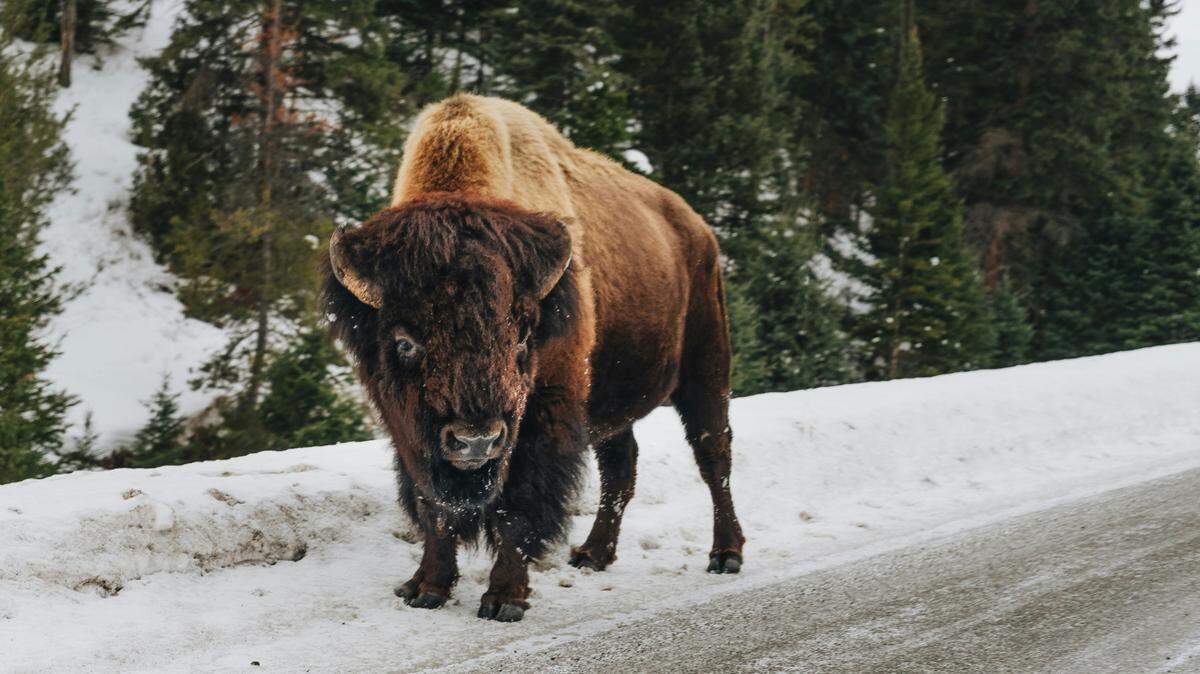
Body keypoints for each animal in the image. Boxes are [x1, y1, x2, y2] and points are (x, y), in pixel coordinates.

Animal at [324, 94, 745, 622]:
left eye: (523, 339)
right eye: (404, 342)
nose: (477, 441)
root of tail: (697, 229)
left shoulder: (540, 421)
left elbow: (517, 509)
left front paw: (504, 598)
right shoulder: (410, 435)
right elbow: (434, 509)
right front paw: (425, 588)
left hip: (706, 370)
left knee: (713, 455)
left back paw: (726, 555)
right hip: (612, 400)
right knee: (621, 466)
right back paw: (593, 554)